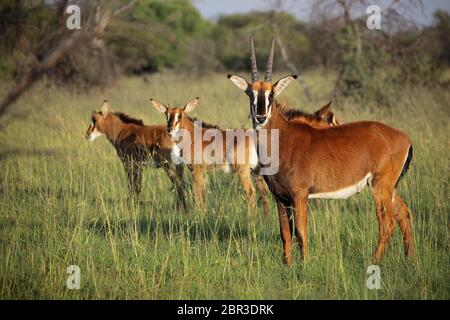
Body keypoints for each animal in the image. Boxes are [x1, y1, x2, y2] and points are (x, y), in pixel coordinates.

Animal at [229, 36, 414, 264]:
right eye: (250, 94)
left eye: (271, 93)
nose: (261, 117)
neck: (283, 138)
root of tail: (404, 137)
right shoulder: (280, 198)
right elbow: (285, 234)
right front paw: (287, 265)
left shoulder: (300, 196)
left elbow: (301, 232)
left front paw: (304, 264)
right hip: (390, 187)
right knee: (404, 214)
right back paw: (410, 260)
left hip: (380, 186)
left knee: (386, 223)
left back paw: (374, 261)